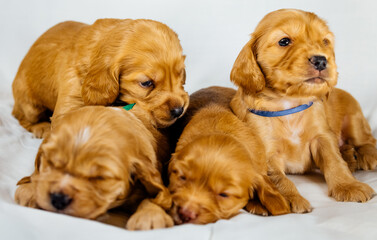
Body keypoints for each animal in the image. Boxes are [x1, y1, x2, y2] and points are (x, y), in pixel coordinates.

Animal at [11, 18, 188, 139]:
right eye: (146, 83)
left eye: (181, 75)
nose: (179, 110)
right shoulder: (69, 102)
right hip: (29, 104)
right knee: (20, 116)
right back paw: (40, 127)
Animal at [14, 106, 172, 231]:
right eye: (51, 162)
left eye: (100, 178)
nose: (58, 198)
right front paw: (30, 189)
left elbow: (154, 195)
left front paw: (149, 216)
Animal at [228, 8, 374, 213]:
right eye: (284, 41)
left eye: (325, 41)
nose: (321, 60)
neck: (289, 103)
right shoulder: (265, 150)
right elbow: (278, 178)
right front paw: (287, 198)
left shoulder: (322, 137)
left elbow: (334, 161)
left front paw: (348, 185)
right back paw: (350, 155)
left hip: (354, 118)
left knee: (368, 140)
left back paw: (365, 156)